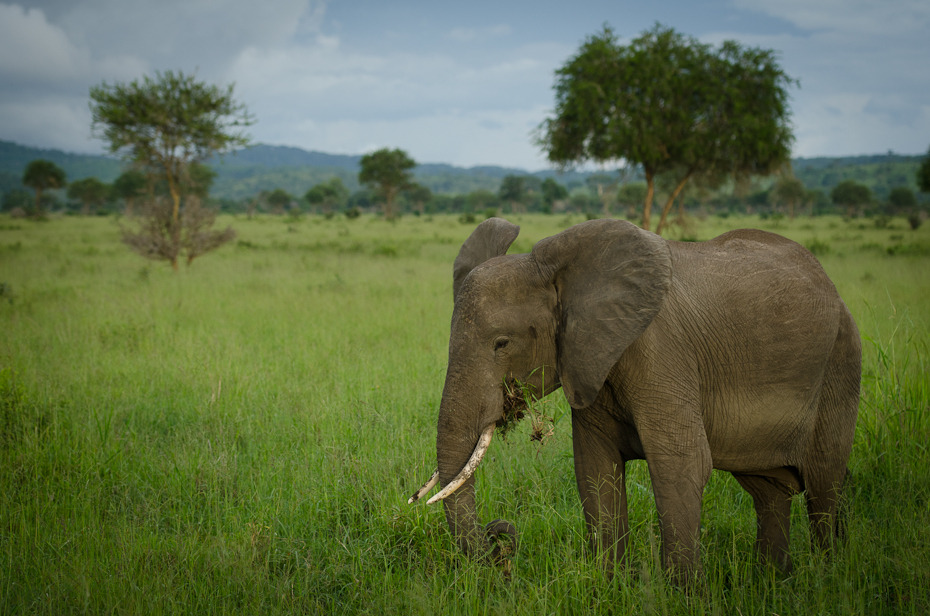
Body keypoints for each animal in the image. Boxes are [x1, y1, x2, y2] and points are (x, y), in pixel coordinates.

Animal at [410, 219, 860, 584]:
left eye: (502, 343)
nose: (499, 539)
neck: (566, 279)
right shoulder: (589, 359)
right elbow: (595, 470)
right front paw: (610, 587)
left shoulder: (662, 353)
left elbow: (681, 464)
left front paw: (684, 596)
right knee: (770, 493)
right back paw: (774, 581)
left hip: (840, 362)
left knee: (824, 486)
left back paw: (829, 578)